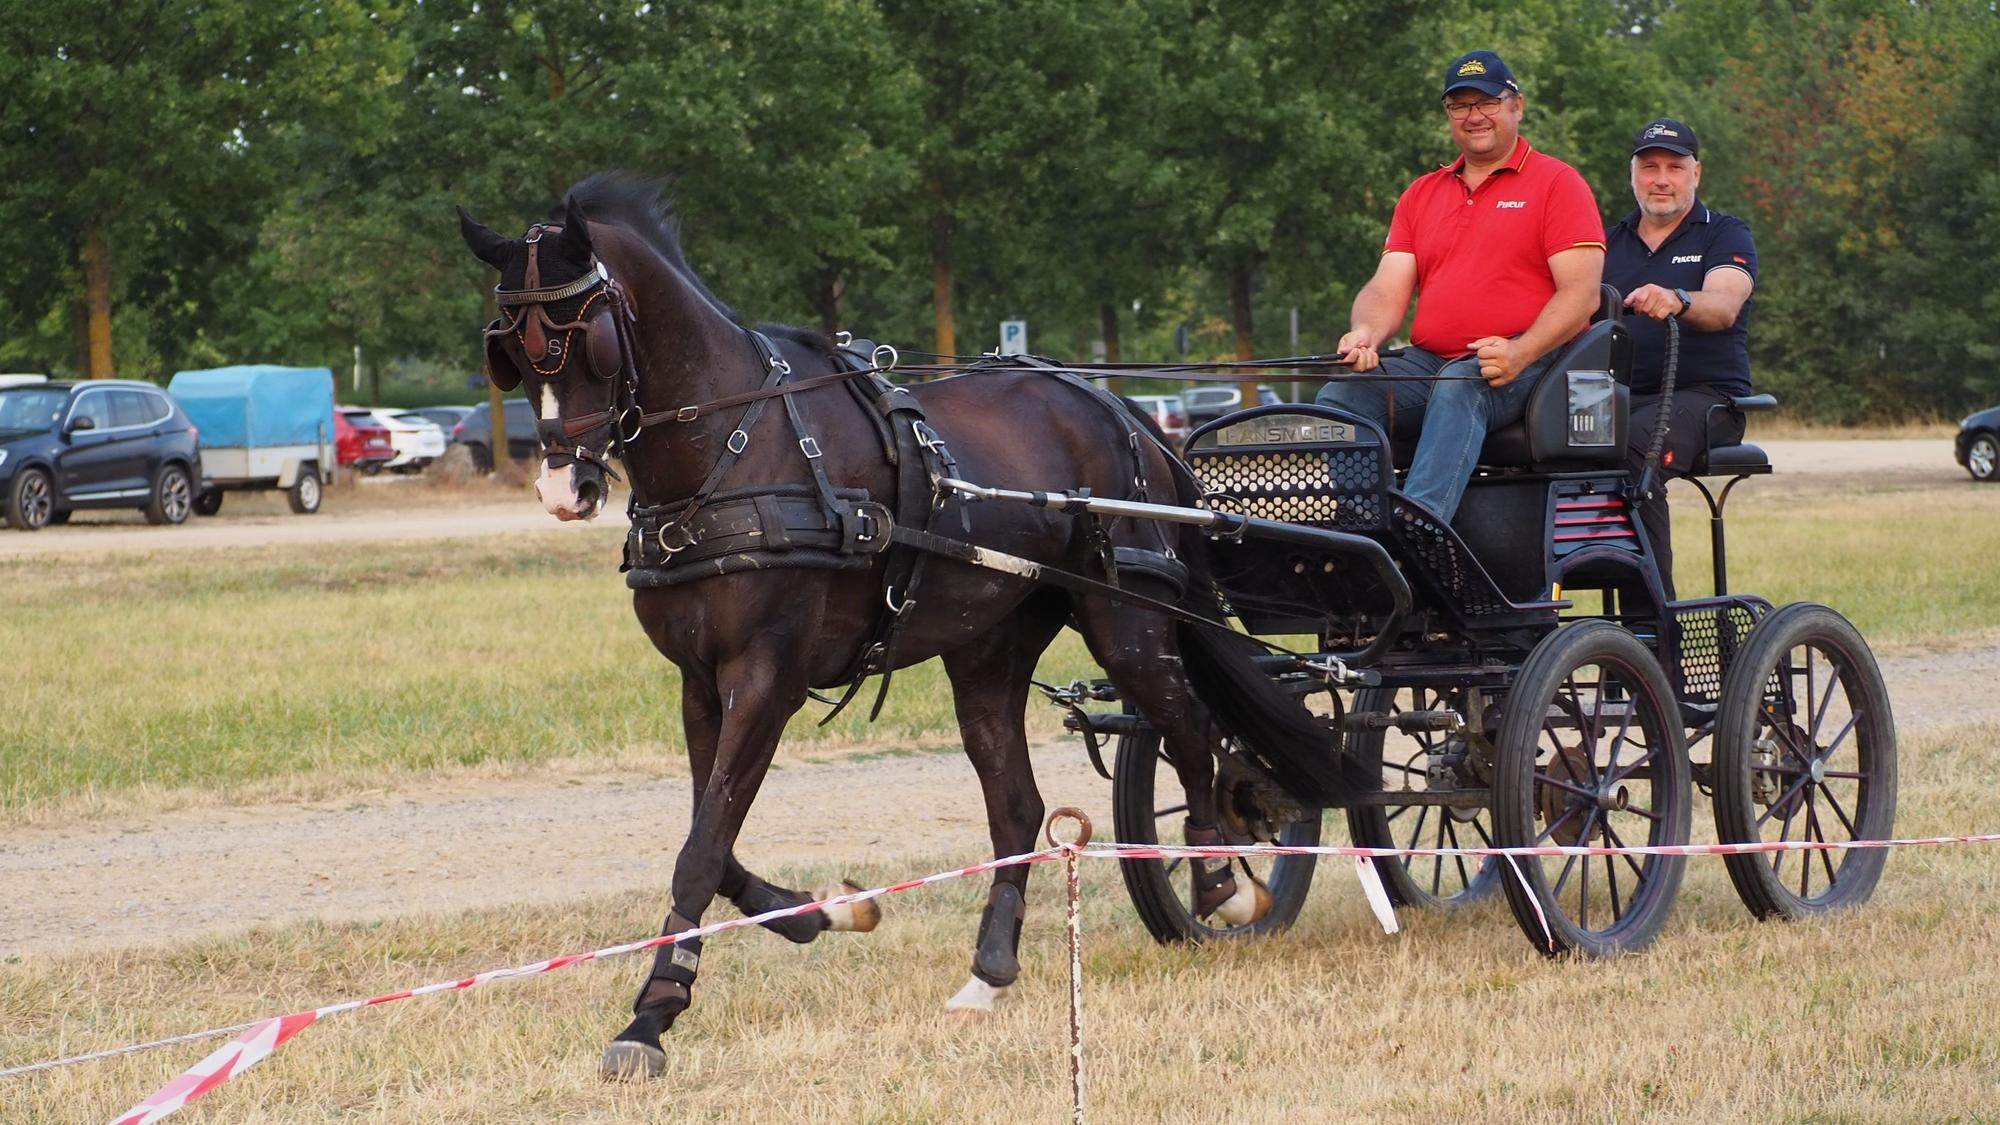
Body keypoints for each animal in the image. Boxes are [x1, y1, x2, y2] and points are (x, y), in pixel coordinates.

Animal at [458, 173, 1347, 1080]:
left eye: (590, 338)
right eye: (509, 347)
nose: (564, 489)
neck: (735, 446)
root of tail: (1118, 412)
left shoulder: (768, 676)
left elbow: (703, 845)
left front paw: (652, 1013)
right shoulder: (701, 682)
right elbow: (712, 835)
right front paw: (818, 910)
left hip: (1126, 617)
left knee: (1191, 727)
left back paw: (1222, 878)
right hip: (989, 646)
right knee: (1020, 803)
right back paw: (988, 972)